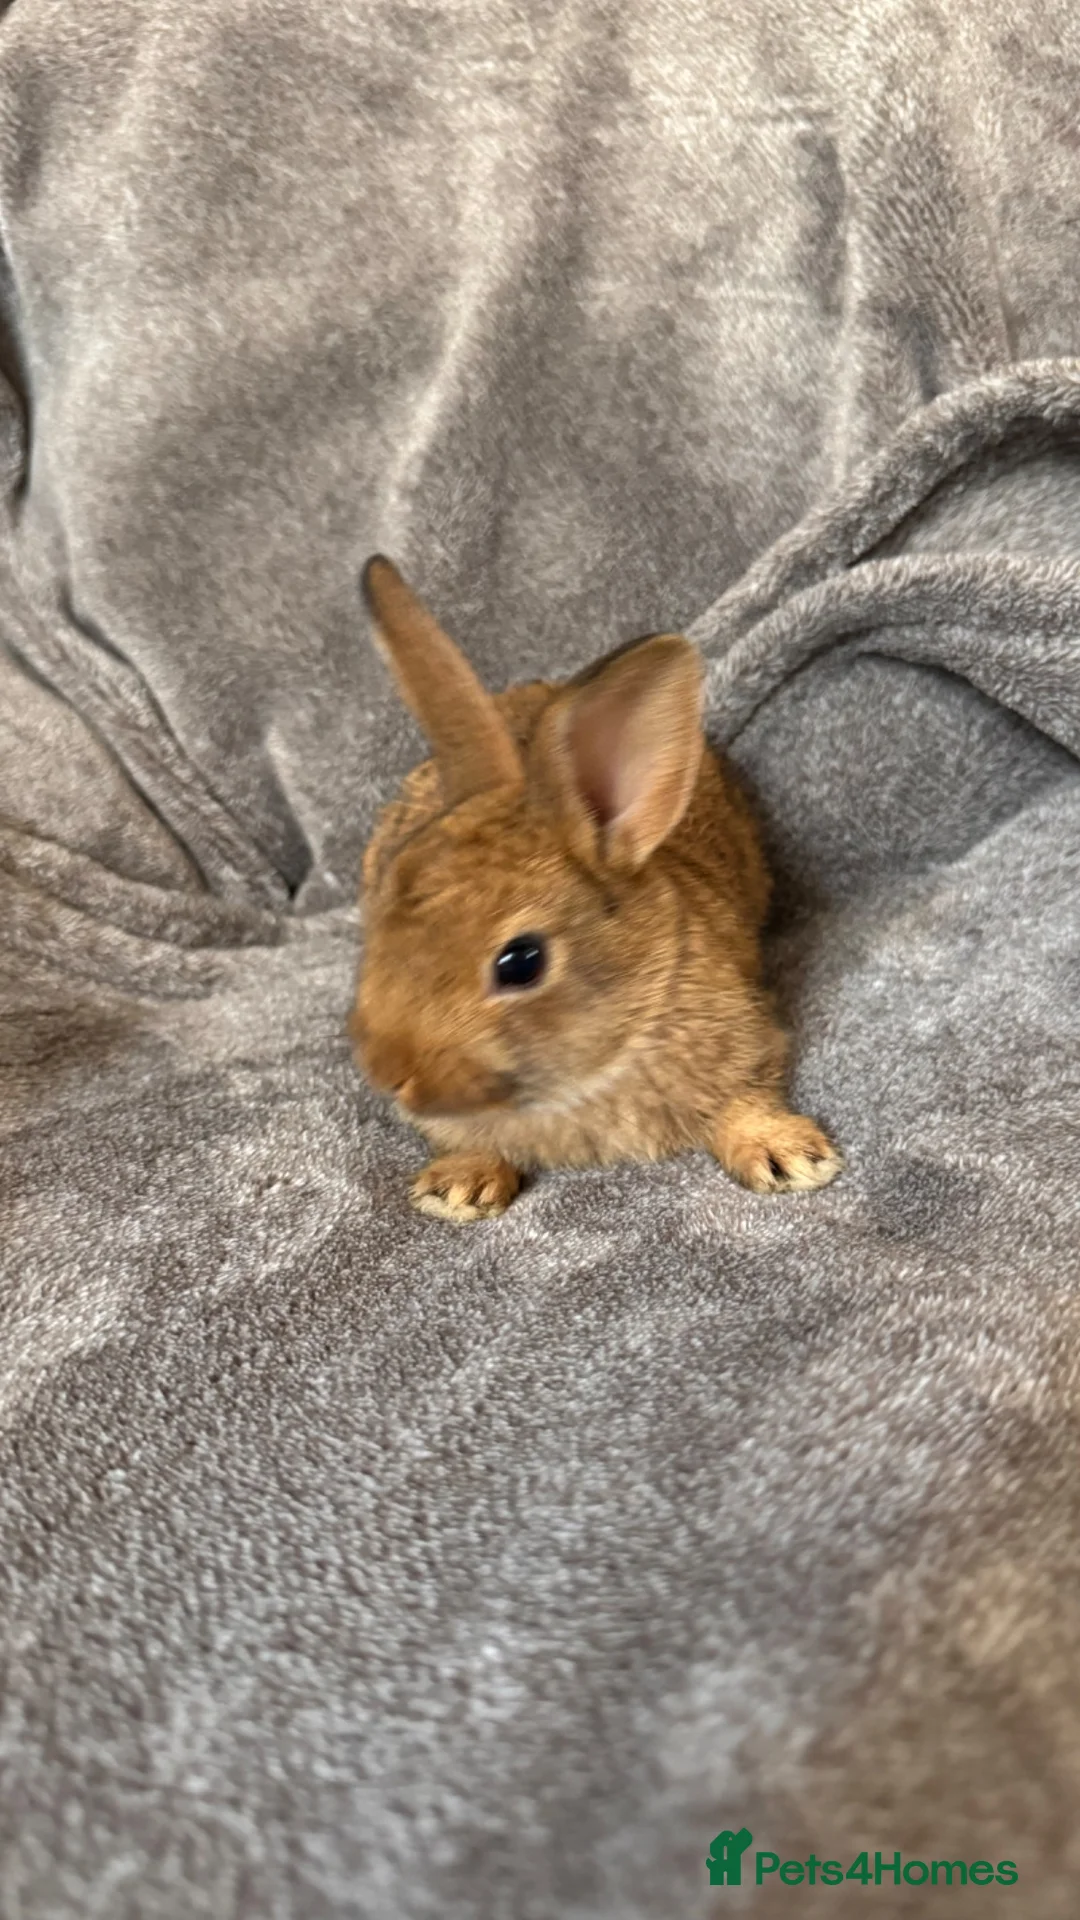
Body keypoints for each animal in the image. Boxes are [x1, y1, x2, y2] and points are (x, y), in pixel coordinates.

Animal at [350, 557, 842, 1222]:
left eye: (521, 962)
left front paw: (789, 1156)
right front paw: (459, 1187)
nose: (389, 1072)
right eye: (381, 906)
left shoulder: (747, 1045)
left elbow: (747, 1098)